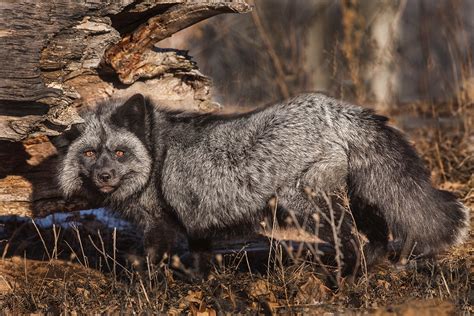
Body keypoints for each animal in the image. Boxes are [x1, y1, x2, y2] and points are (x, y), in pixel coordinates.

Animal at [57, 93, 468, 274]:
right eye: (90, 154)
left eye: (120, 153)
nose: (104, 176)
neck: (156, 155)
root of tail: (334, 108)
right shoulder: (197, 222)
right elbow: (202, 260)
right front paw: (203, 285)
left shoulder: (159, 224)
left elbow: (150, 261)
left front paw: (142, 285)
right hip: (360, 195)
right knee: (377, 235)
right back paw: (372, 266)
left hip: (306, 205)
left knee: (350, 238)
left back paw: (348, 278)